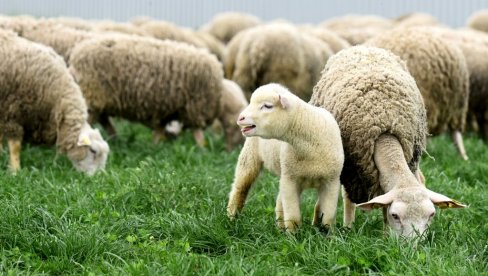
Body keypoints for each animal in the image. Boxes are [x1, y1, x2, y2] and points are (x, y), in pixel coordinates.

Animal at [68, 35, 244, 151]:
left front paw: (156, 146)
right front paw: (202, 150)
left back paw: (114, 140)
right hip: (92, 96)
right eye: (237, 126)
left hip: (100, 102)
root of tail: (74, 60)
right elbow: (197, 133)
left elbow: (159, 129)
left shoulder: (165, 109)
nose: (231, 151)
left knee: (105, 122)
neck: (220, 96)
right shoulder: (195, 107)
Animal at [226, 83, 344, 233]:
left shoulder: (331, 181)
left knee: (279, 201)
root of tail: (275, 85)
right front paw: (293, 235)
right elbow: (293, 216)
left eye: (268, 106)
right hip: (250, 156)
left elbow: (328, 216)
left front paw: (329, 234)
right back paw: (232, 218)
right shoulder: (291, 179)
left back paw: (280, 227)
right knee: (240, 188)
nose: (240, 118)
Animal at [308, 45, 466, 237]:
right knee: (344, 197)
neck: (385, 133)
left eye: (431, 215)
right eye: (395, 215)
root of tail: (363, 46)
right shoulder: (353, 169)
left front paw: (385, 236)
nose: (413, 245)